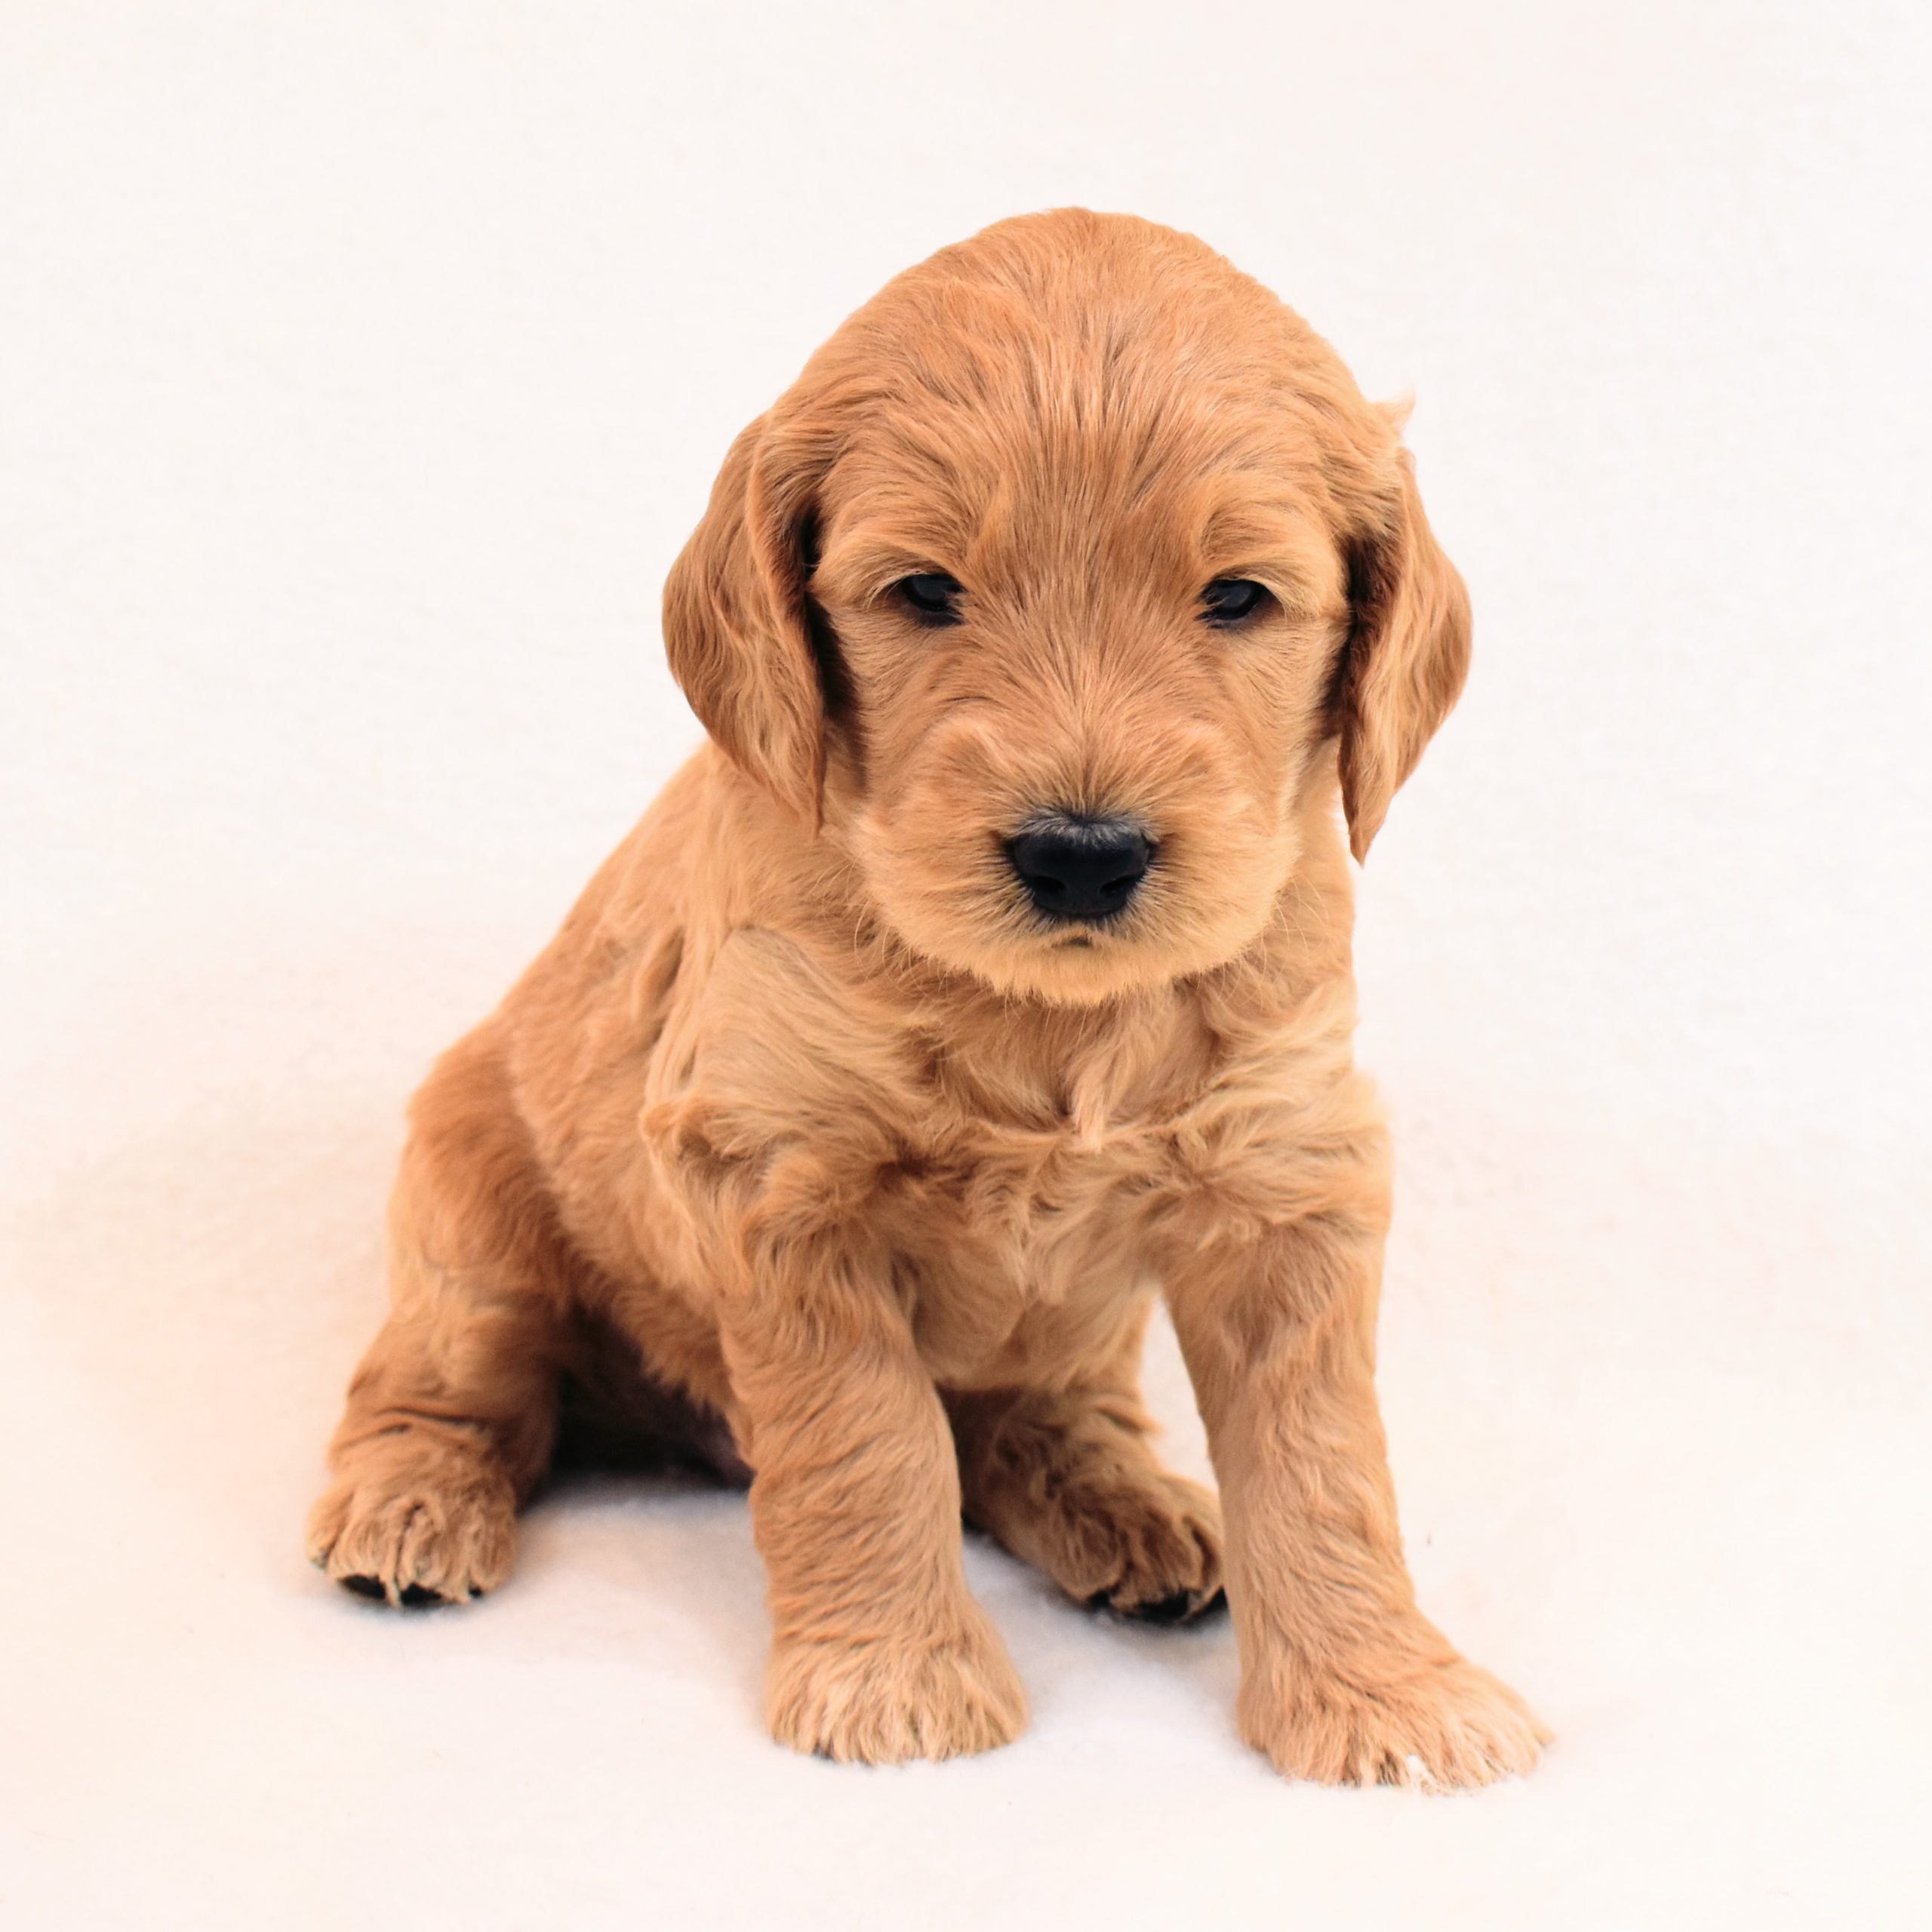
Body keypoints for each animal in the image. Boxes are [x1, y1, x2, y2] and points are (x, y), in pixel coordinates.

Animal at [316, 204, 1553, 1785]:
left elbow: (1324, 1457)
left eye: (1236, 598)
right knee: (446, 1378)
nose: (1082, 854)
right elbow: (868, 1442)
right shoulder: (782, 1180)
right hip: (466, 1208)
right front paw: (896, 1679)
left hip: (1081, 1332)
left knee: (1035, 1415)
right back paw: (410, 1506)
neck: (1046, 1014)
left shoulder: (1288, 1172)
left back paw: (1123, 1507)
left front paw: (1387, 1692)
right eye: (924, 594)